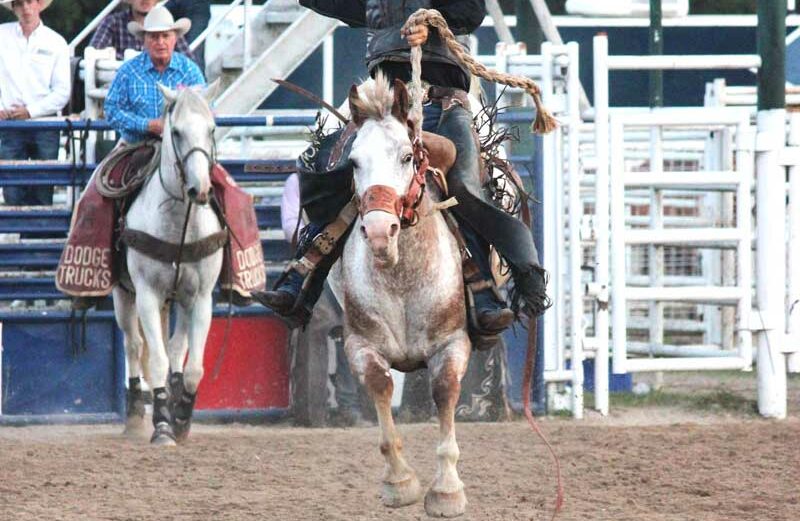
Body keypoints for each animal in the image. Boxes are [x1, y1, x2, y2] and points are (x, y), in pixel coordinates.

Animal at [114, 83, 223, 444]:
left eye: (211, 129)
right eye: (176, 132)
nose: (200, 188)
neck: (180, 227)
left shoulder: (202, 298)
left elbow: (193, 367)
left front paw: (182, 418)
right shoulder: (147, 294)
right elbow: (157, 360)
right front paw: (162, 425)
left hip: (182, 300)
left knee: (177, 348)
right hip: (123, 294)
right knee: (134, 345)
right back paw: (135, 413)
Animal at [342, 76, 468, 516]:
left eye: (406, 156)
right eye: (353, 162)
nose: (380, 233)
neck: (402, 277)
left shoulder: (453, 342)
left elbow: (444, 390)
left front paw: (447, 491)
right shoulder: (359, 343)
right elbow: (380, 385)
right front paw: (399, 481)